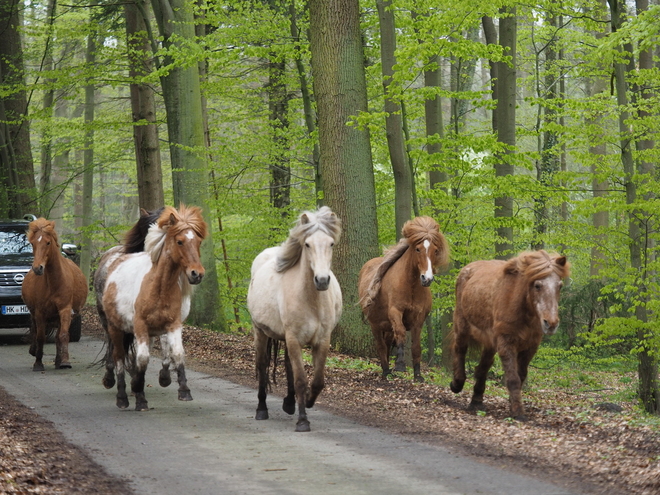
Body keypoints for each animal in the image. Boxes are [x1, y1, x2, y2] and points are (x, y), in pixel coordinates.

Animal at [95, 205, 206, 410]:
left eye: (198, 241)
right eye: (179, 241)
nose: (197, 274)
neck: (158, 286)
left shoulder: (173, 323)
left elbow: (175, 352)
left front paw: (180, 388)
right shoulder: (140, 326)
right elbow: (142, 358)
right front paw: (138, 393)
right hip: (111, 324)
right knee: (117, 355)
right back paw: (118, 391)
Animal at [246, 207, 342, 432]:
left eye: (331, 243)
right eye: (307, 244)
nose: (322, 281)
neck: (311, 300)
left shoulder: (322, 340)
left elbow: (317, 381)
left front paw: (308, 401)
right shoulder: (294, 338)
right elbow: (300, 380)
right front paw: (303, 420)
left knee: (288, 365)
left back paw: (289, 403)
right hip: (261, 332)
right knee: (262, 365)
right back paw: (262, 409)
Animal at [358, 217, 452, 384]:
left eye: (435, 250)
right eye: (418, 249)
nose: (427, 278)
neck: (411, 286)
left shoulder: (419, 319)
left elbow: (416, 346)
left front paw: (418, 374)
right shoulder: (395, 312)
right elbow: (401, 334)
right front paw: (400, 365)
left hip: (387, 327)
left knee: (387, 343)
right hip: (375, 325)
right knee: (381, 345)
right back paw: (386, 371)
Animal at [452, 250, 568, 420]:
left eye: (559, 286)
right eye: (537, 285)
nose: (551, 323)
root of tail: (467, 269)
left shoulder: (530, 347)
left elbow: (520, 376)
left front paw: (514, 404)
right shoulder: (506, 343)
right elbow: (513, 379)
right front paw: (518, 412)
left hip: (490, 342)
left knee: (483, 367)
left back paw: (476, 401)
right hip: (462, 326)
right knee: (460, 349)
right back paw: (457, 384)